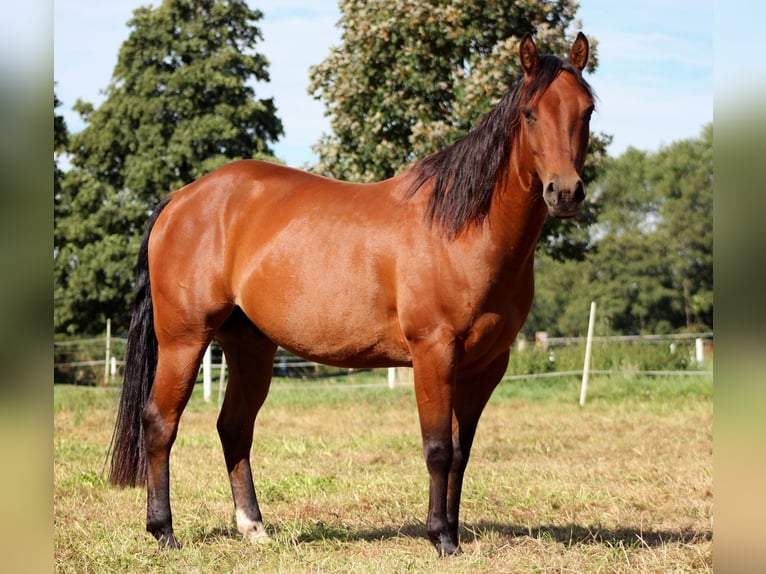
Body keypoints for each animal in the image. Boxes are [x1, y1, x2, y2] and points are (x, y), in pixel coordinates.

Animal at [108, 32, 595, 556]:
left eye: (586, 110)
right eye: (530, 113)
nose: (565, 192)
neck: (463, 228)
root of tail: (180, 199)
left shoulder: (486, 366)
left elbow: (461, 453)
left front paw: (455, 532)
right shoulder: (434, 352)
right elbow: (438, 448)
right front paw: (441, 538)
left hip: (250, 346)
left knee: (234, 427)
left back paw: (253, 527)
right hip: (184, 340)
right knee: (160, 423)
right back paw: (164, 531)